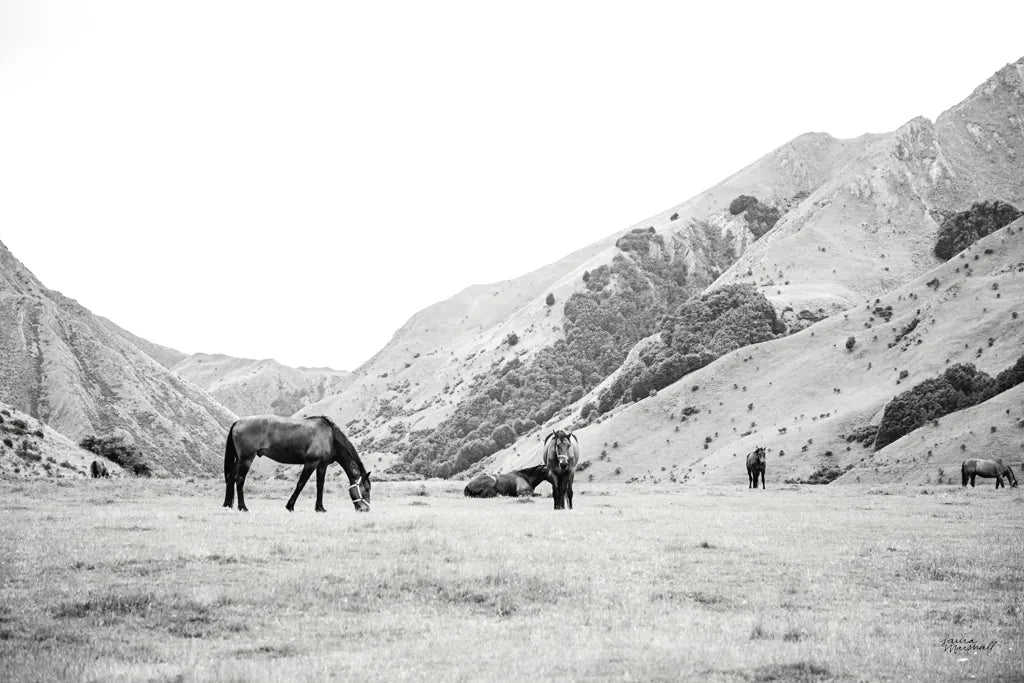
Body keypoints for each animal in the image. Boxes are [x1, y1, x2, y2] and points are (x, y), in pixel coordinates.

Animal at [223, 415, 371, 512]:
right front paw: (290, 506)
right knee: (239, 479)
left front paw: (320, 508)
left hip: (240, 459)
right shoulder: (311, 463)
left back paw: (227, 505)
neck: (331, 437)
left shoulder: (322, 465)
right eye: (366, 489)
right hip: (246, 458)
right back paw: (242, 507)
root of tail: (237, 422)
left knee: (231, 477)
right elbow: (301, 484)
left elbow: (320, 486)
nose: (366, 509)